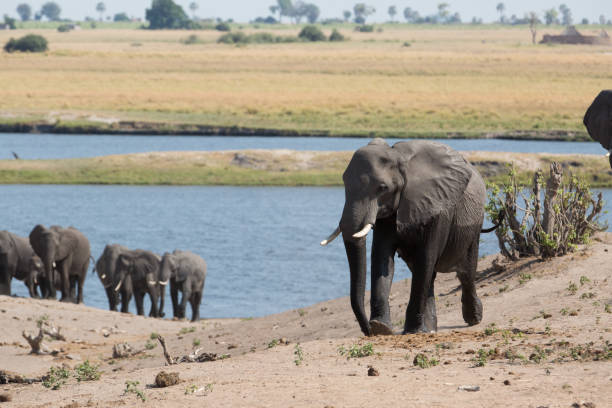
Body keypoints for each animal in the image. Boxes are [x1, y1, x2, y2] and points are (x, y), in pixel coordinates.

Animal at [322, 139, 490, 336]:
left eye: (382, 188)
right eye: (343, 182)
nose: (368, 331)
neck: (400, 158)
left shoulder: (438, 207)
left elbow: (425, 258)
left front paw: (408, 331)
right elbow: (381, 257)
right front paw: (381, 327)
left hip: (473, 224)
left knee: (466, 271)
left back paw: (473, 318)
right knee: (429, 276)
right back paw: (429, 329)